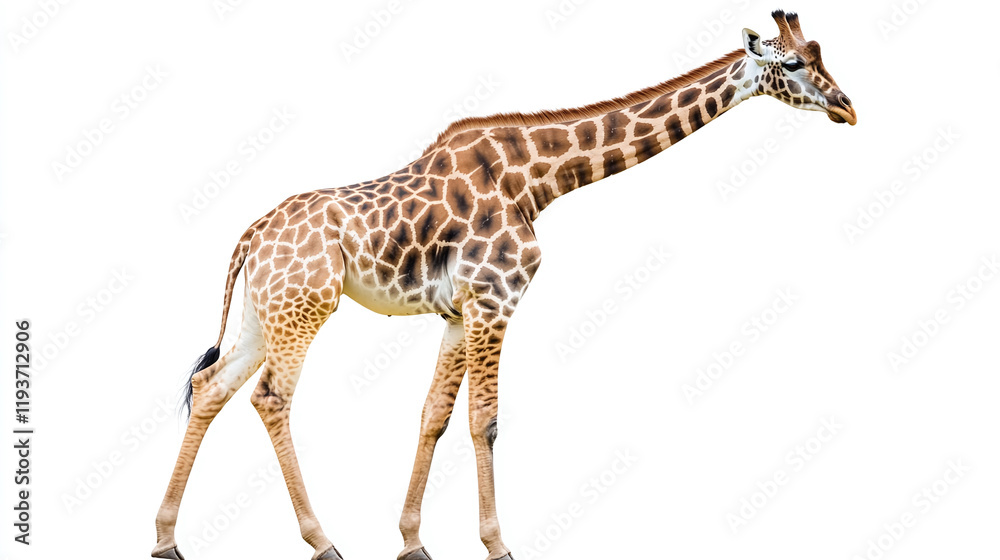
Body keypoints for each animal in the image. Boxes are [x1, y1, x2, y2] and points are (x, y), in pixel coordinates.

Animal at [153, 10, 855, 560]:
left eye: (820, 55)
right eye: (793, 63)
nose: (848, 106)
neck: (537, 179)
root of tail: (251, 236)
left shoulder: (458, 312)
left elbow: (434, 416)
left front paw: (413, 541)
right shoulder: (496, 298)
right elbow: (484, 420)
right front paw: (498, 544)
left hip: (263, 313)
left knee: (210, 388)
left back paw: (166, 538)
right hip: (304, 306)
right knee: (271, 397)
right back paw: (322, 541)